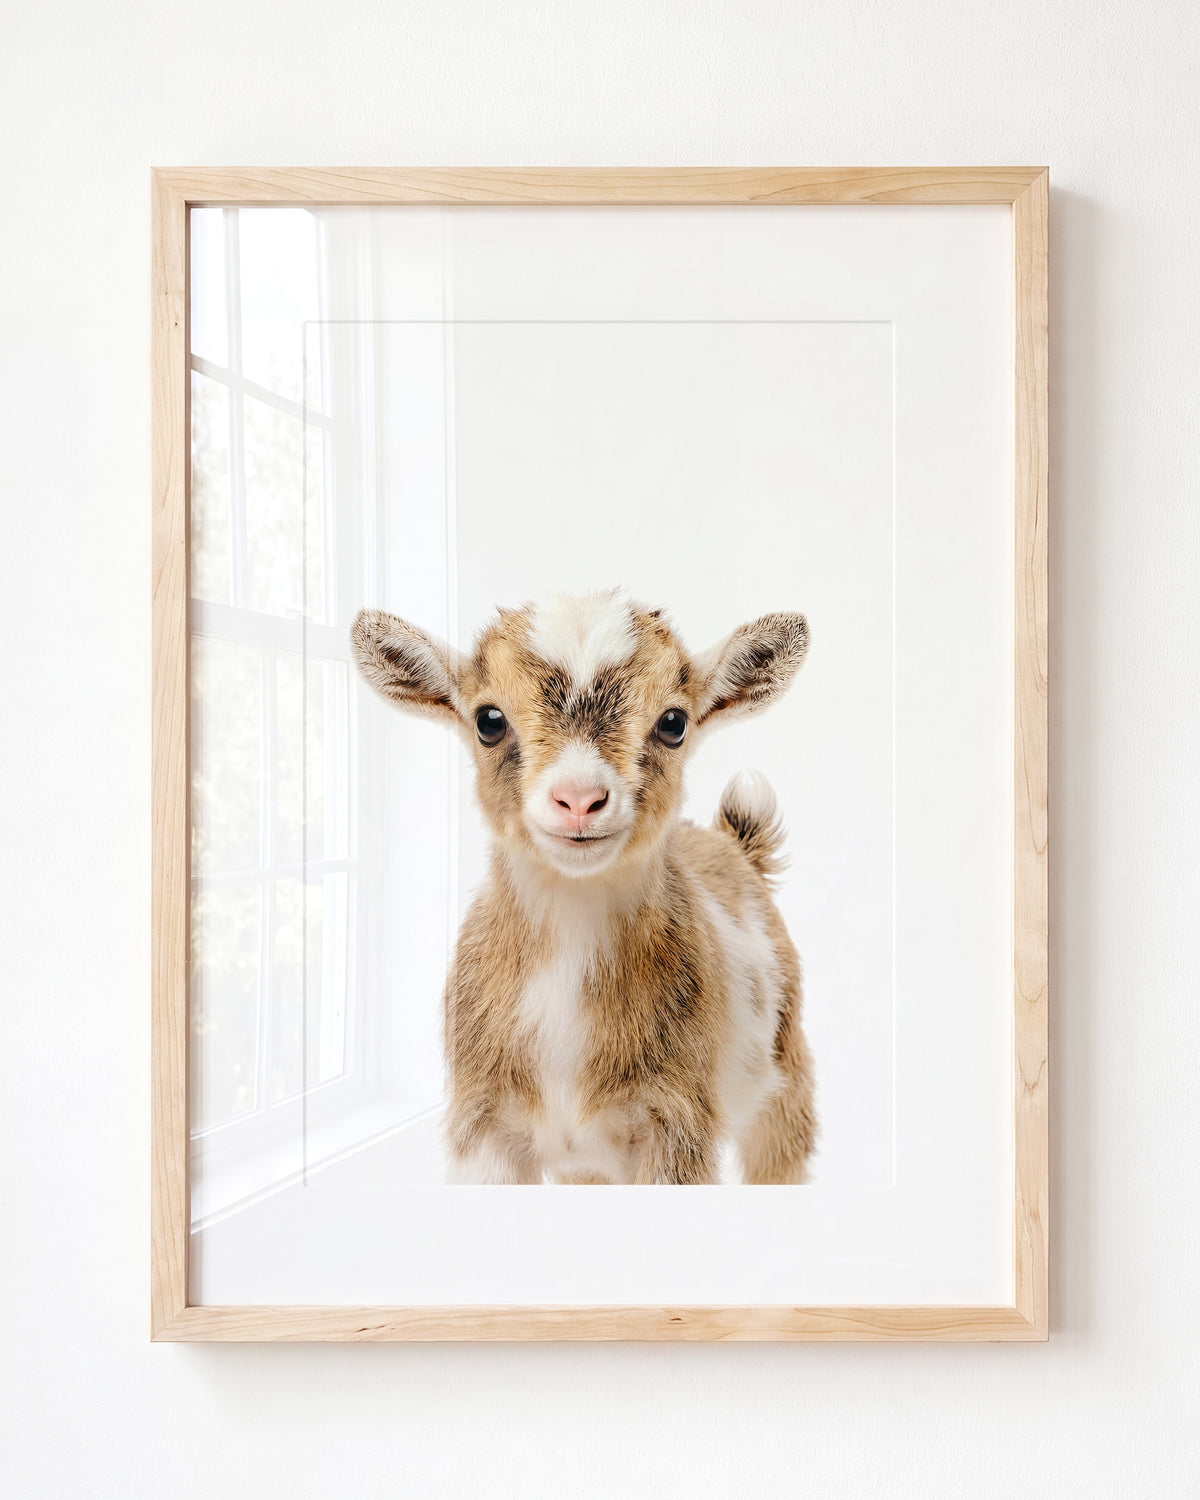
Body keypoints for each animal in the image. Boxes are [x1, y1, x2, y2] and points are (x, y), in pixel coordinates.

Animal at [351, 590, 816, 1184]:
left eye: (673, 723)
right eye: (488, 720)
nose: (578, 799)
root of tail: (735, 845)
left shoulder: (677, 1124)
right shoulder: (483, 1126)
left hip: (787, 1079)